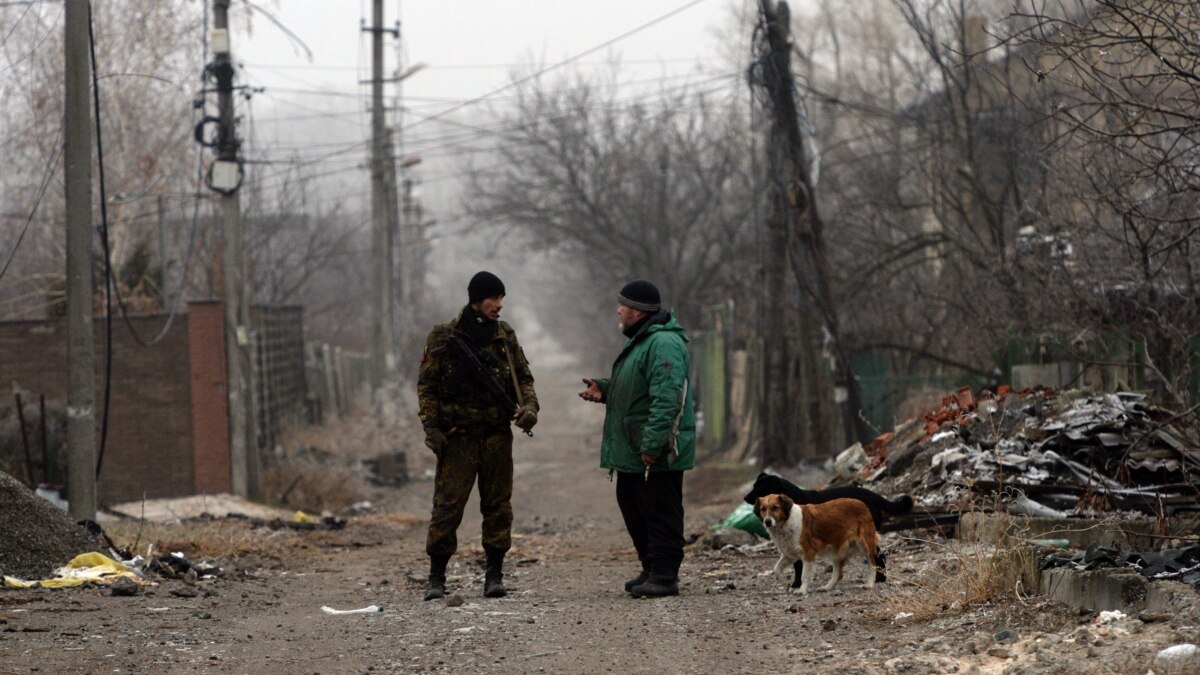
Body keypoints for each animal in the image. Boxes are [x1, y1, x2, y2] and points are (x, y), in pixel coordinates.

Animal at [734, 473, 912, 583]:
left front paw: (796, 584)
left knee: (878, 555)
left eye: (760, 488)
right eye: (754, 485)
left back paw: (879, 579)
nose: (745, 497)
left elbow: (798, 565)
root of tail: (873, 495)